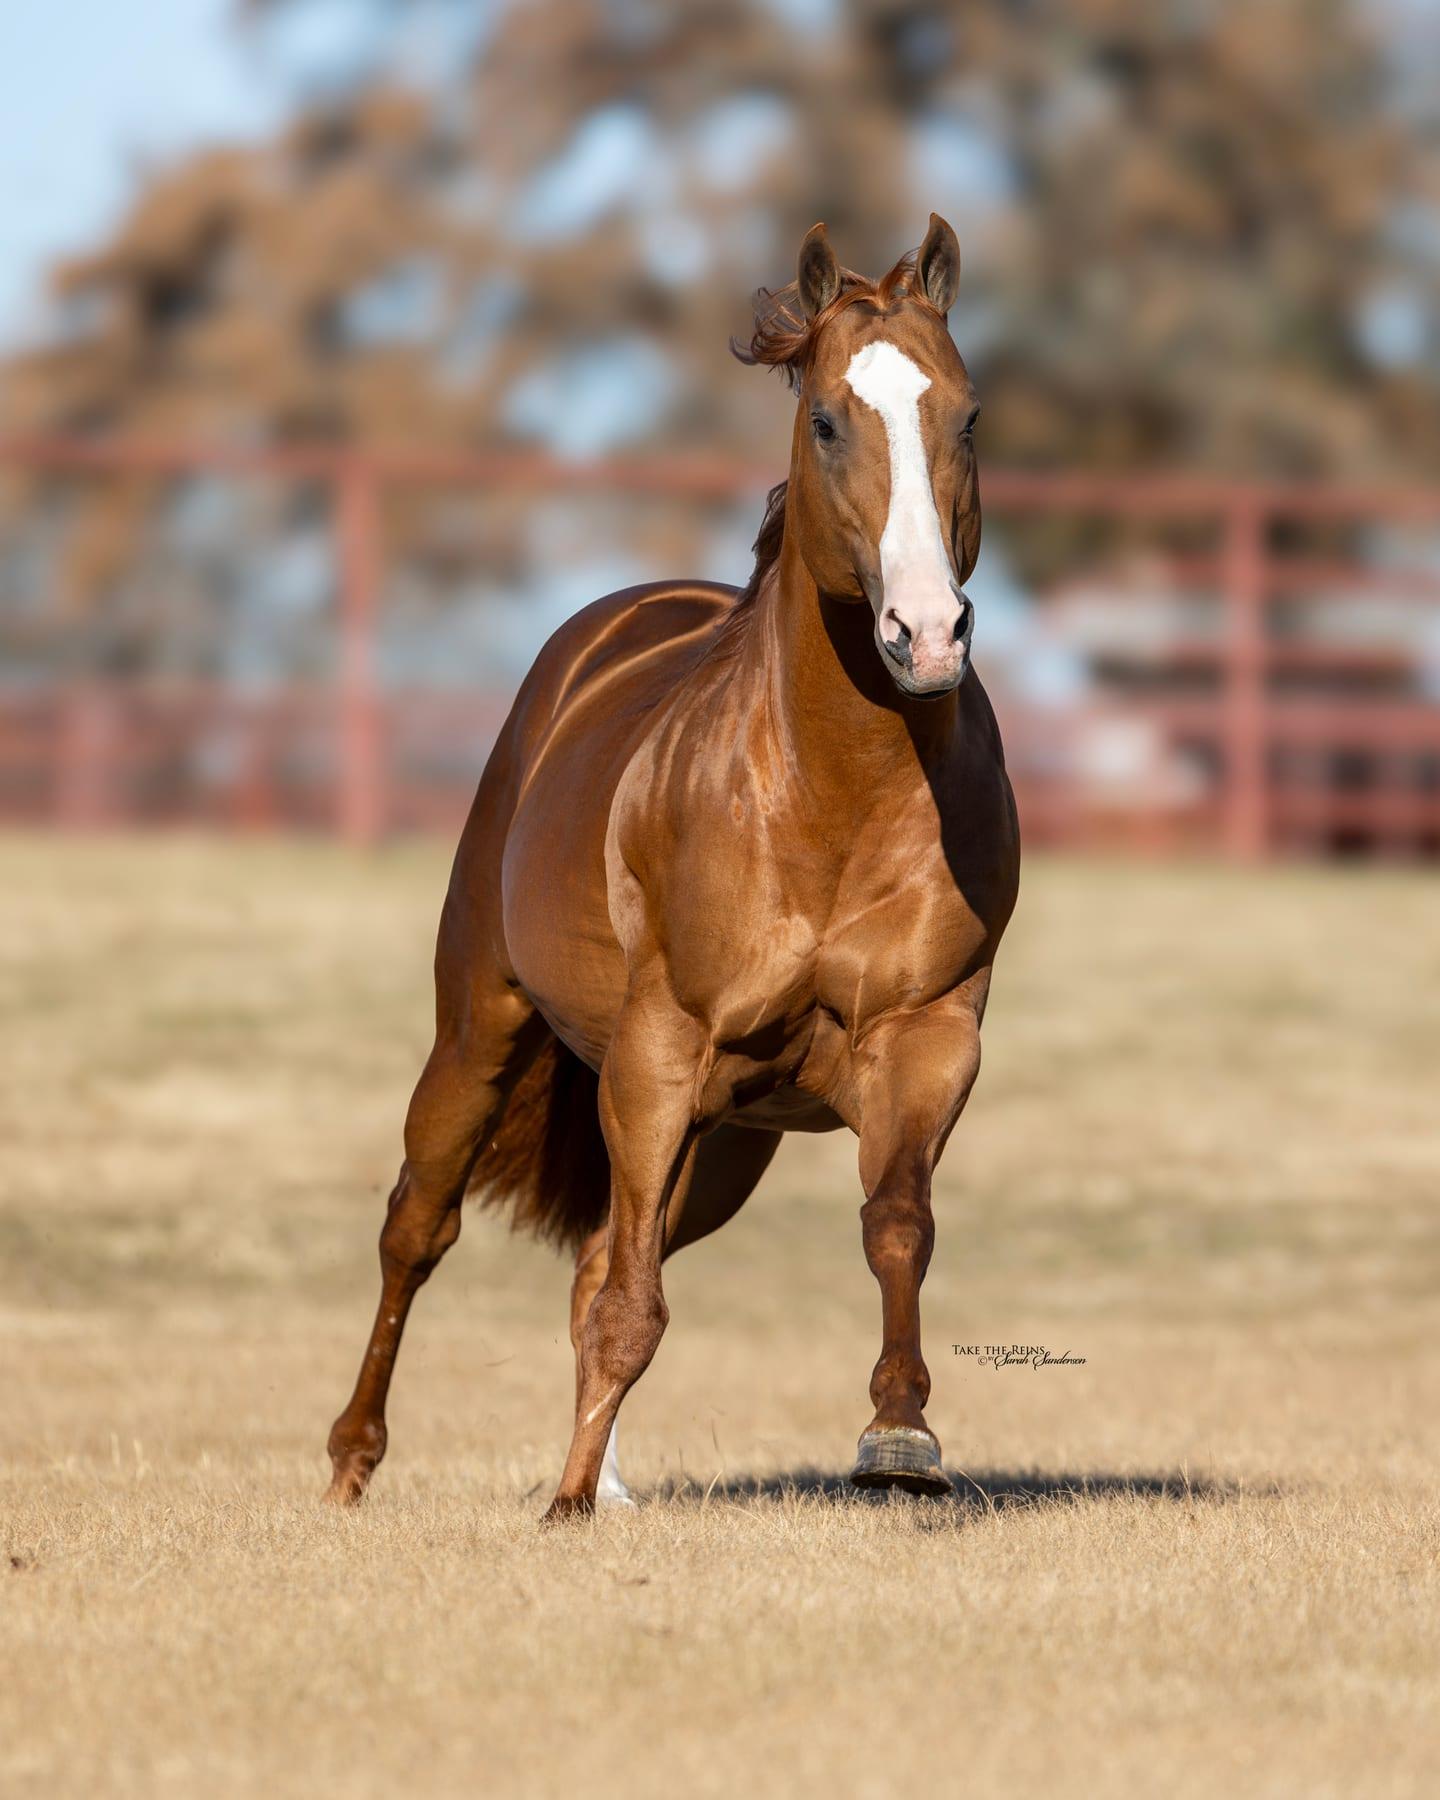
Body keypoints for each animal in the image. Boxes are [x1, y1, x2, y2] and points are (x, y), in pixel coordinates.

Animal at [325, 214, 1019, 1521]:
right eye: (827, 421)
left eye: (965, 417)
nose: (925, 634)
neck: (830, 797)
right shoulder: (661, 1048)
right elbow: (626, 1306)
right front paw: (556, 1507)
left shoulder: (928, 1039)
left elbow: (895, 1225)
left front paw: (900, 1440)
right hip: (487, 1031)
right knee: (420, 1228)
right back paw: (356, 1463)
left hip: (724, 1139)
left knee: (604, 1253)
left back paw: (600, 1480)